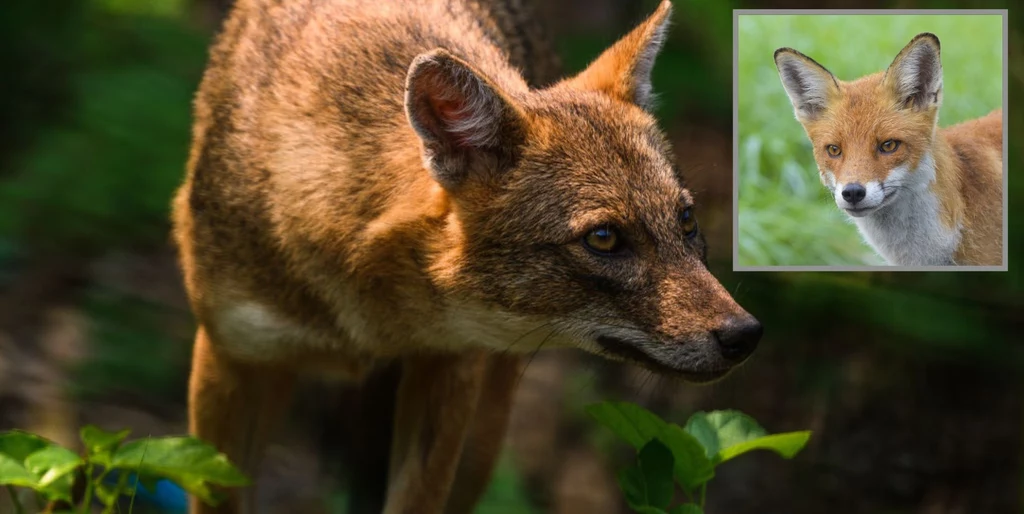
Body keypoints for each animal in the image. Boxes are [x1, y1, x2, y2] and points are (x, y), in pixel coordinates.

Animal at [169, 1, 761, 514]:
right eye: (604, 238)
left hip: (485, 431)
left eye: (686, 221)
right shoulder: (229, 359)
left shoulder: (450, 369)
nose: (746, 334)